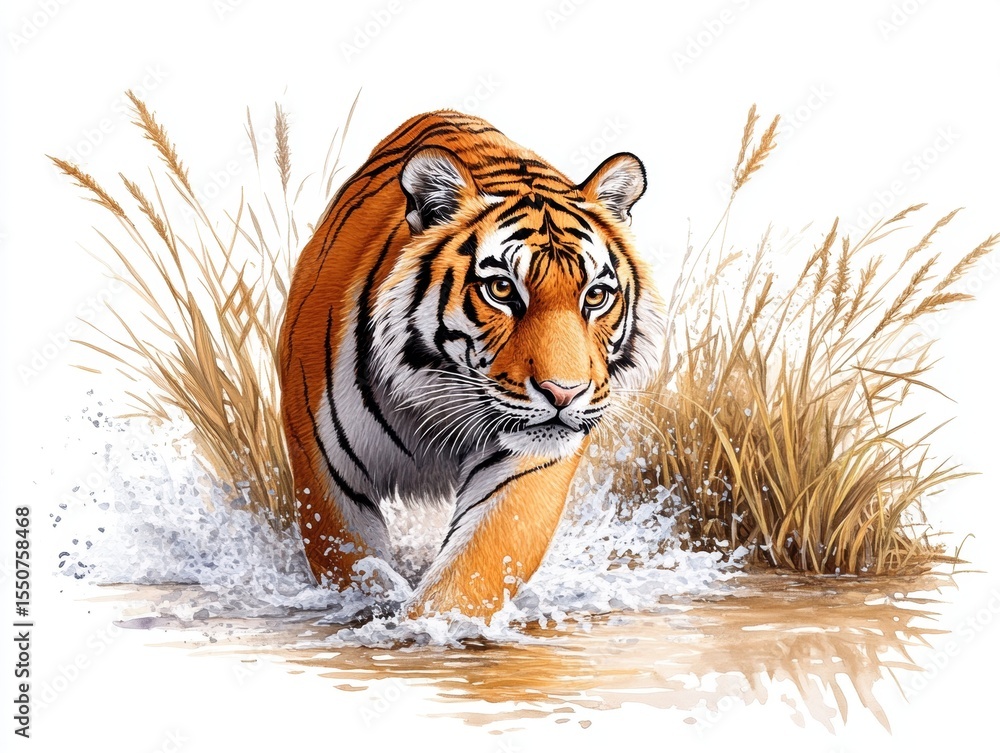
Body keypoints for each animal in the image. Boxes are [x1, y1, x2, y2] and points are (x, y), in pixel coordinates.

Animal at [278, 110, 665, 619]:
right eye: (501, 290)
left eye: (596, 296)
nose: (564, 393)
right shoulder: (326, 471)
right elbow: (349, 564)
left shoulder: (526, 467)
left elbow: (471, 572)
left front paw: (426, 627)